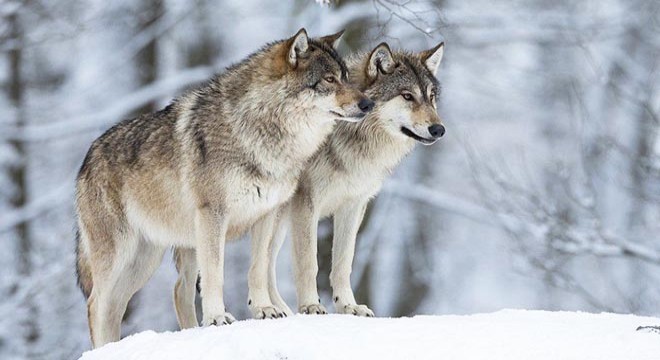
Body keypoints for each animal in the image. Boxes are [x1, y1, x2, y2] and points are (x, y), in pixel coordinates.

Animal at [75, 27, 374, 346]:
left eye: (346, 77)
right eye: (329, 80)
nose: (368, 104)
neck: (259, 129)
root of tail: (87, 157)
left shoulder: (266, 214)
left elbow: (257, 269)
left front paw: (264, 309)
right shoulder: (213, 215)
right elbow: (215, 274)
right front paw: (217, 318)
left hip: (146, 260)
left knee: (145, 299)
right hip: (121, 257)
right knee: (96, 304)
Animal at [173, 40, 446, 324]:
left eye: (431, 97)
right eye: (407, 96)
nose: (439, 129)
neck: (350, 139)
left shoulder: (354, 206)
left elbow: (343, 263)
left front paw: (348, 306)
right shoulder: (306, 204)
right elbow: (308, 262)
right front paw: (311, 306)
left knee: (262, 266)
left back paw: (279, 310)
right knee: (187, 287)